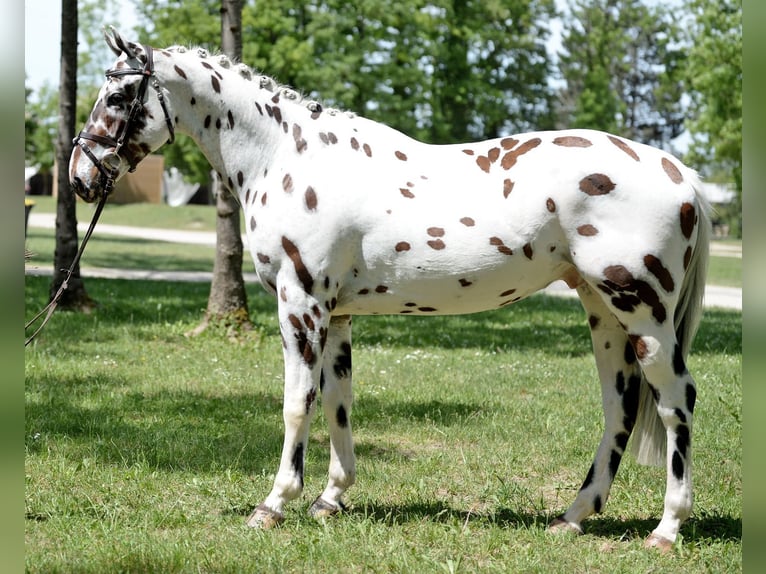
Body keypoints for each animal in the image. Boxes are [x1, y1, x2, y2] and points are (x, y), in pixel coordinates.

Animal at [69, 28, 712, 552]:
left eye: (119, 98)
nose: (81, 177)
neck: (285, 157)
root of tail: (681, 174)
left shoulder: (300, 307)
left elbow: (297, 404)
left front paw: (274, 504)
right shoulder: (336, 315)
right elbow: (338, 401)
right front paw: (331, 498)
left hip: (643, 312)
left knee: (675, 400)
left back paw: (666, 529)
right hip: (602, 310)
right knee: (619, 407)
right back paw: (573, 517)